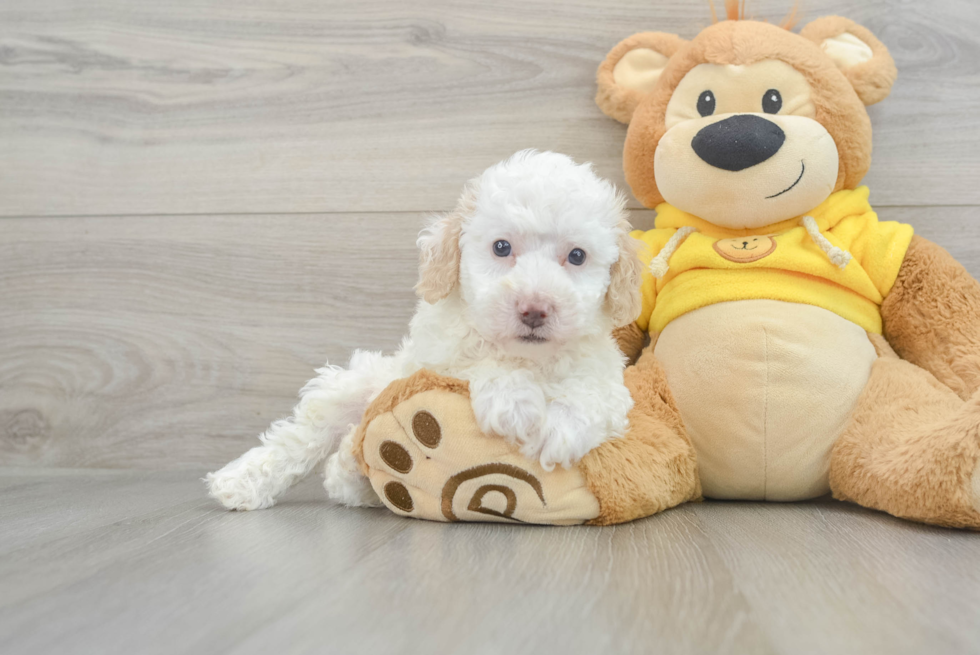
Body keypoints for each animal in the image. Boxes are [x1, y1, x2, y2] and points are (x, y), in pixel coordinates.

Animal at [207, 152, 644, 512]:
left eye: (577, 256)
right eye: (501, 247)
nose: (534, 310)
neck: (530, 357)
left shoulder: (606, 377)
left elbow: (593, 395)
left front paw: (559, 428)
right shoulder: (437, 359)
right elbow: (479, 361)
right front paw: (513, 401)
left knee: (346, 477)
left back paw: (350, 464)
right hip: (354, 387)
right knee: (302, 439)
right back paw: (242, 482)